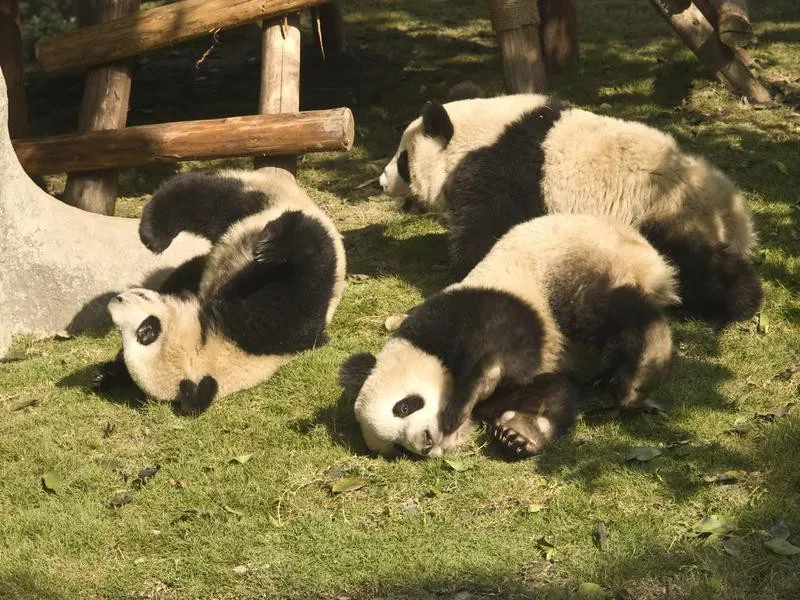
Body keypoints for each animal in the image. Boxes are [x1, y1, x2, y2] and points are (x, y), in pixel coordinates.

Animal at [95, 169, 346, 412]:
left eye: (146, 332)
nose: (116, 301)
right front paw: (106, 374)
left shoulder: (263, 331)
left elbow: (301, 293)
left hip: (262, 207)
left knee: (215, 200)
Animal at [340, 213, 680, 458]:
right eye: (397, 448)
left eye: (403, 407)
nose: (423, 444)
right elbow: (550, 391)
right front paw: (519, 432)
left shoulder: (471, 309)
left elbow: (502, 344)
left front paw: (475, 390)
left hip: (573, 263)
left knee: (600, 311)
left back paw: (643, 369)